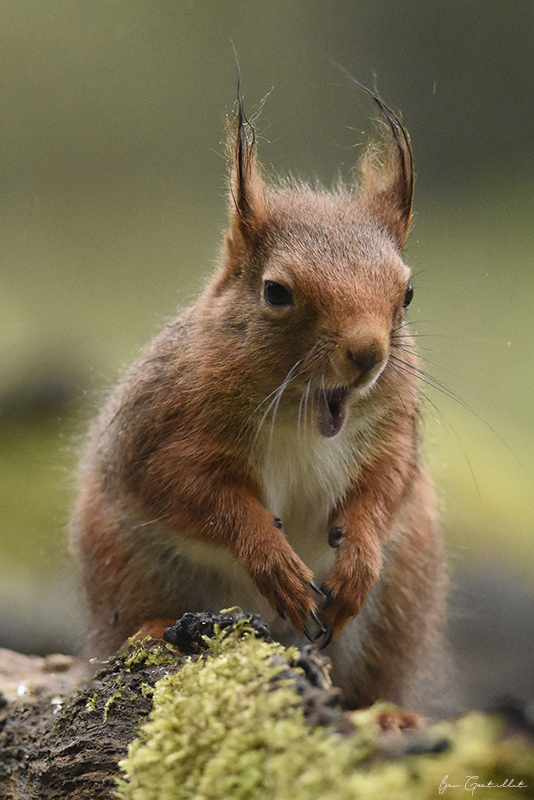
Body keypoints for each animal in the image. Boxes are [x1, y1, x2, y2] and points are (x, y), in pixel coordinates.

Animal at [71, 79, 448, 708]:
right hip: (124, 559)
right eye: (276, 292)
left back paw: (392, 716)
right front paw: (274, 563)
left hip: (402, 597)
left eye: (409, 294)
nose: (368, 353)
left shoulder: (393, 432)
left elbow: (385, 486)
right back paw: (154, 629)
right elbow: (198, 495)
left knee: (375, 682)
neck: (305, 417)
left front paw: (359, 555)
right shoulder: (165, 432)